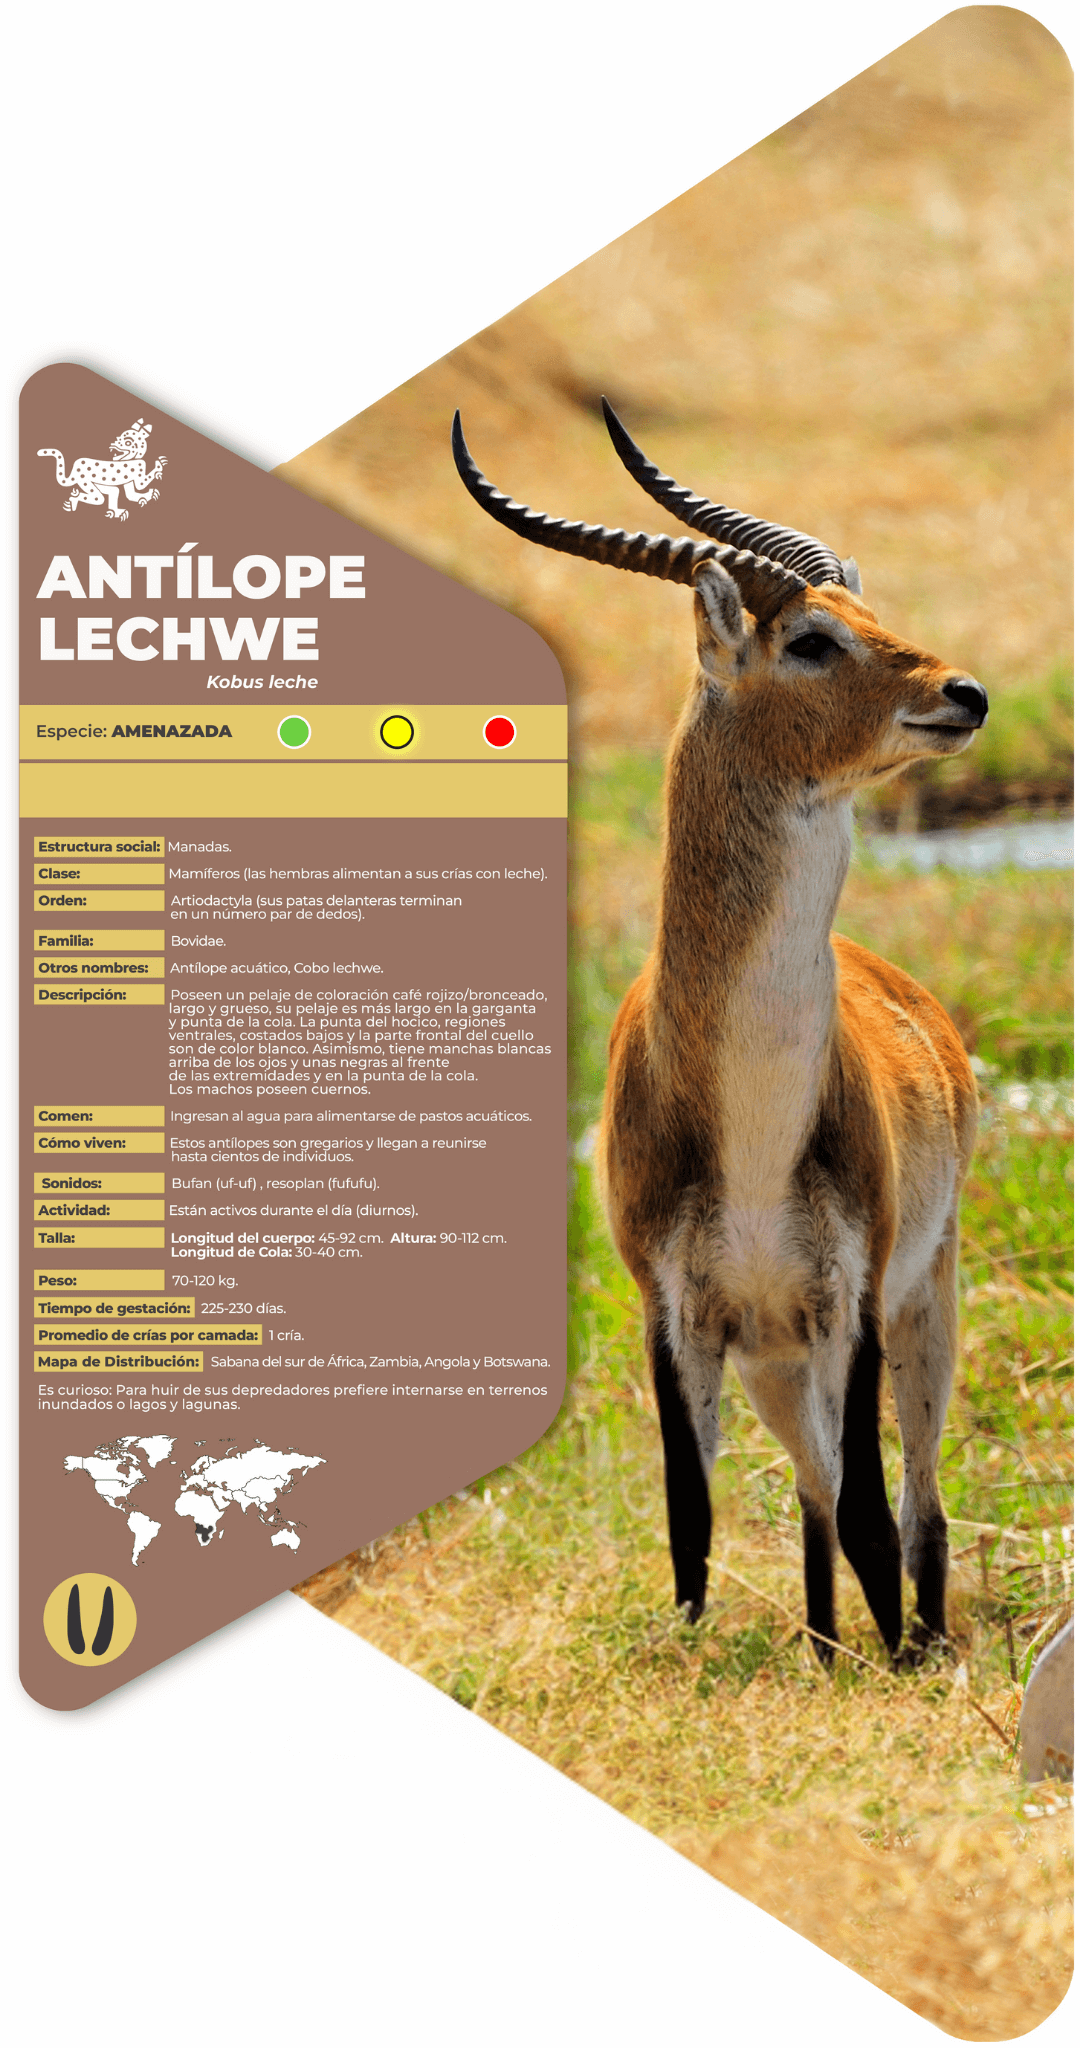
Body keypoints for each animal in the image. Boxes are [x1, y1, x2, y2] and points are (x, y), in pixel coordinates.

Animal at [452, 404, 987, 1662]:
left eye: (867, 614)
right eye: (812, 640)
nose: (966, 692)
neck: (747, 1108)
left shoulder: (851, 1299)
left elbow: (876, 1512)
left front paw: (894, 1671)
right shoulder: (679, 1311)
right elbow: (691, 1515)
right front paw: (701, 1654)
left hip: (920, 1305)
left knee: (917, 1496)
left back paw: (916, 1644)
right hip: (775, 1360)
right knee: (813, 1491)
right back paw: (829, 1646)